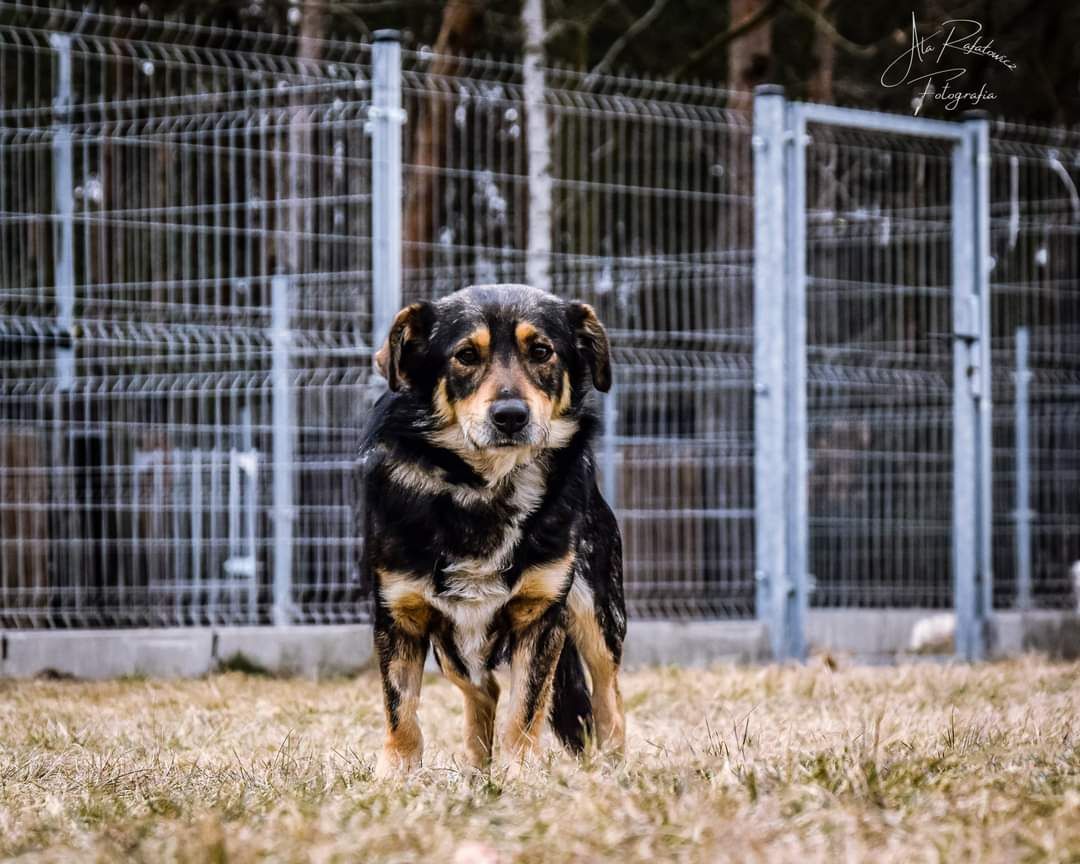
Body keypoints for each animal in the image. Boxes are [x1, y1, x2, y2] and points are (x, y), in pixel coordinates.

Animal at [356, 282, 626, 777]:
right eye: (465, 355)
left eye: (541, 352)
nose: (511, 415)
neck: (484, 489)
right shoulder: (400, 613)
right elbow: (400, 709)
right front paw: (395, 775)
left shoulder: (541, 615)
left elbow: (526, 708)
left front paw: (521, 773)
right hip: (454, 645)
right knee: (483, 691)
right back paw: (476, 770)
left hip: (597, 610)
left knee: (608, 697)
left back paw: (613, 768)